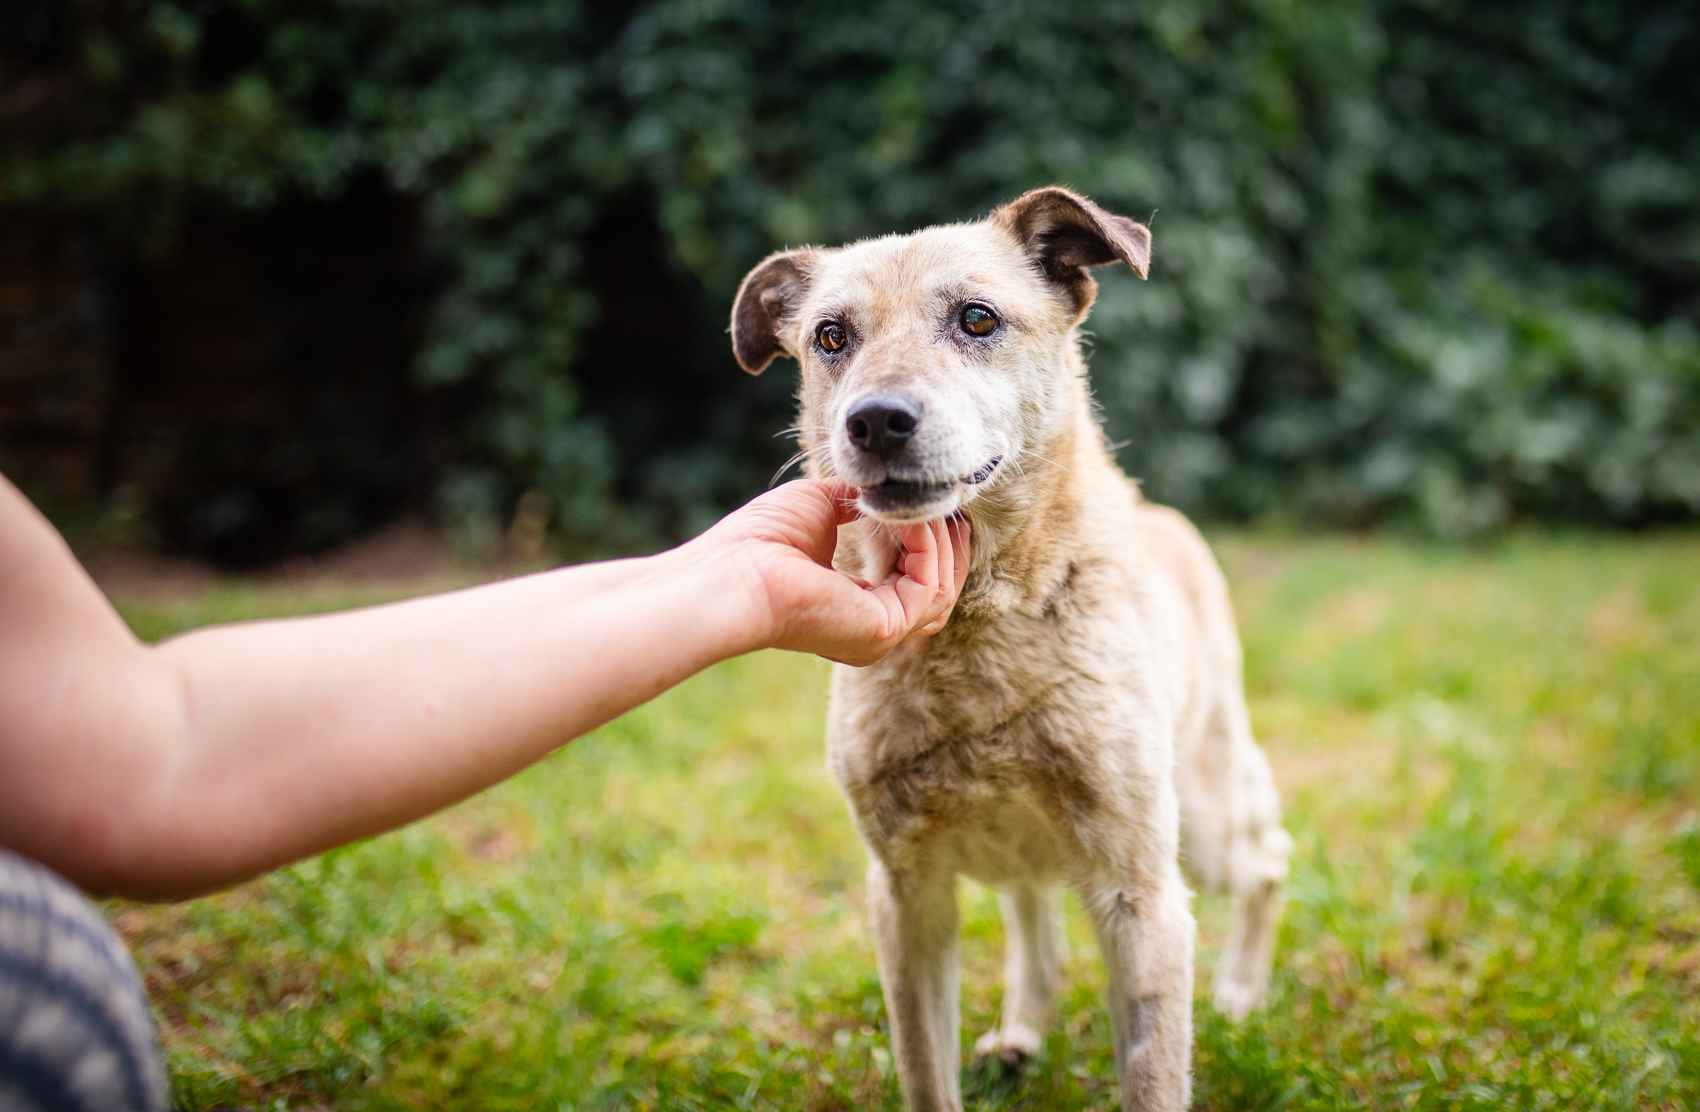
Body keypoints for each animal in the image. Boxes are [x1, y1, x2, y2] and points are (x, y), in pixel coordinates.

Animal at [727, 187, 1285, 1108]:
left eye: (978, 318)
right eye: (831, 337)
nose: (875, 421)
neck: (977, 629)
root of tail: (1165, 517)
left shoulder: (1142, 893)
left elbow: (1152, 1071)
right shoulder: (906, 893)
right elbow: (926, 1067)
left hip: (1204, 818)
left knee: (1269, 861)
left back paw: (1242, 991)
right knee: (1038, 930)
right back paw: (1022, 1033)